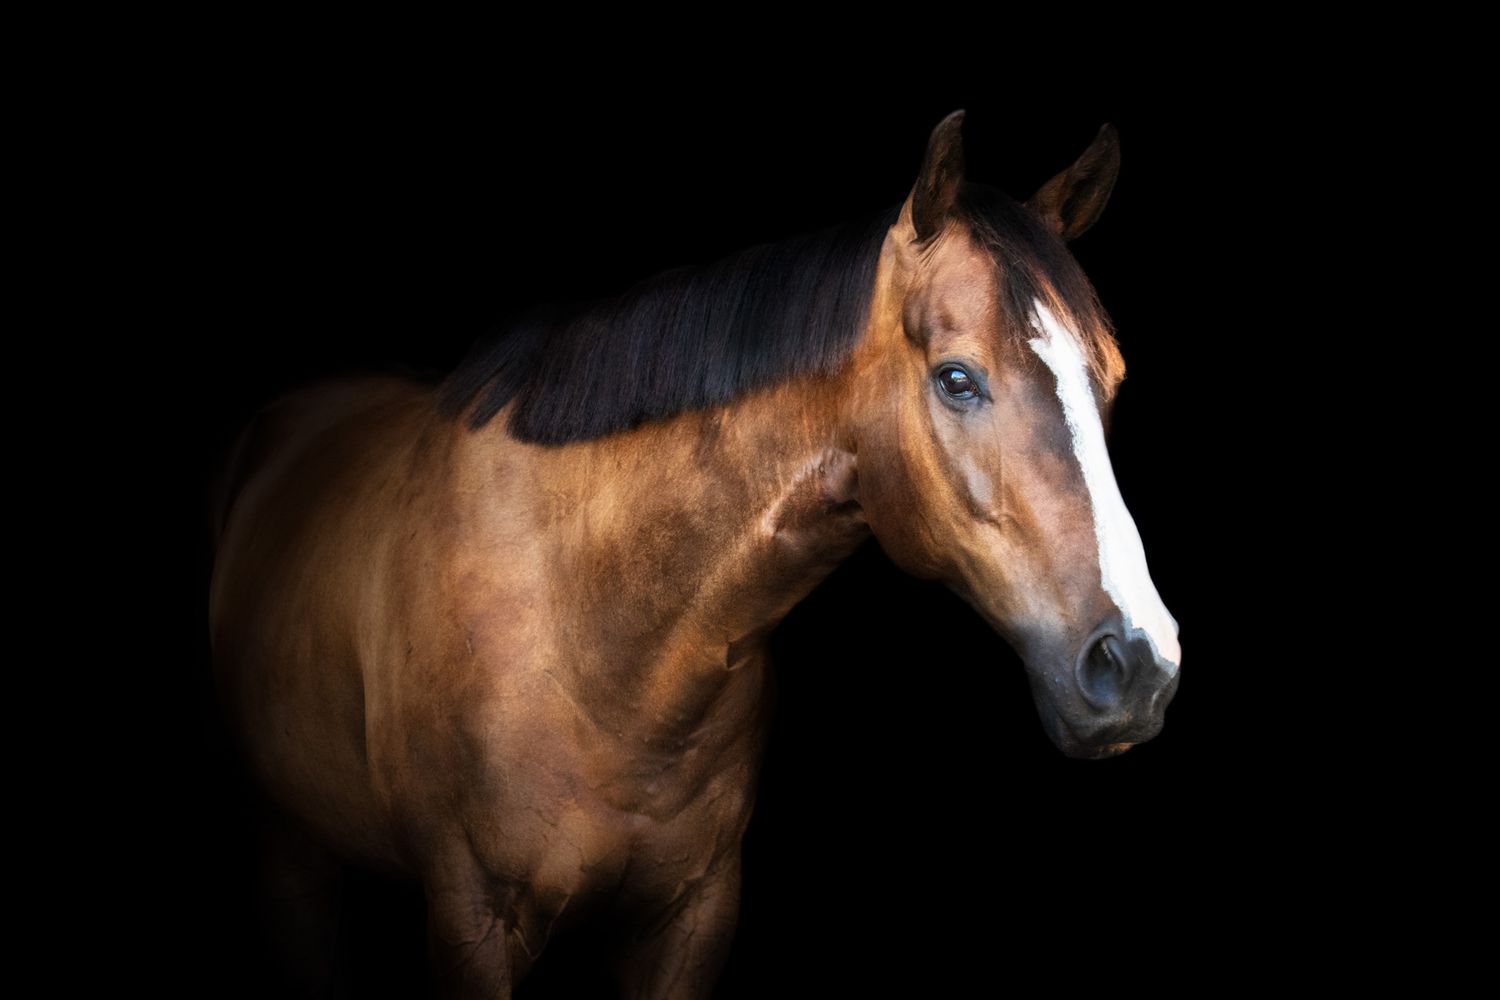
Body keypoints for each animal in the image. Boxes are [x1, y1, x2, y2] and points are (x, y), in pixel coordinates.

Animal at [209, 109, 1181, 998]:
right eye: (956, 378)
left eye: (1111, 380)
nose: (1139, 665)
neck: (595, 632)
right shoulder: (470, 922)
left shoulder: (691, 918)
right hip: (287, 855)